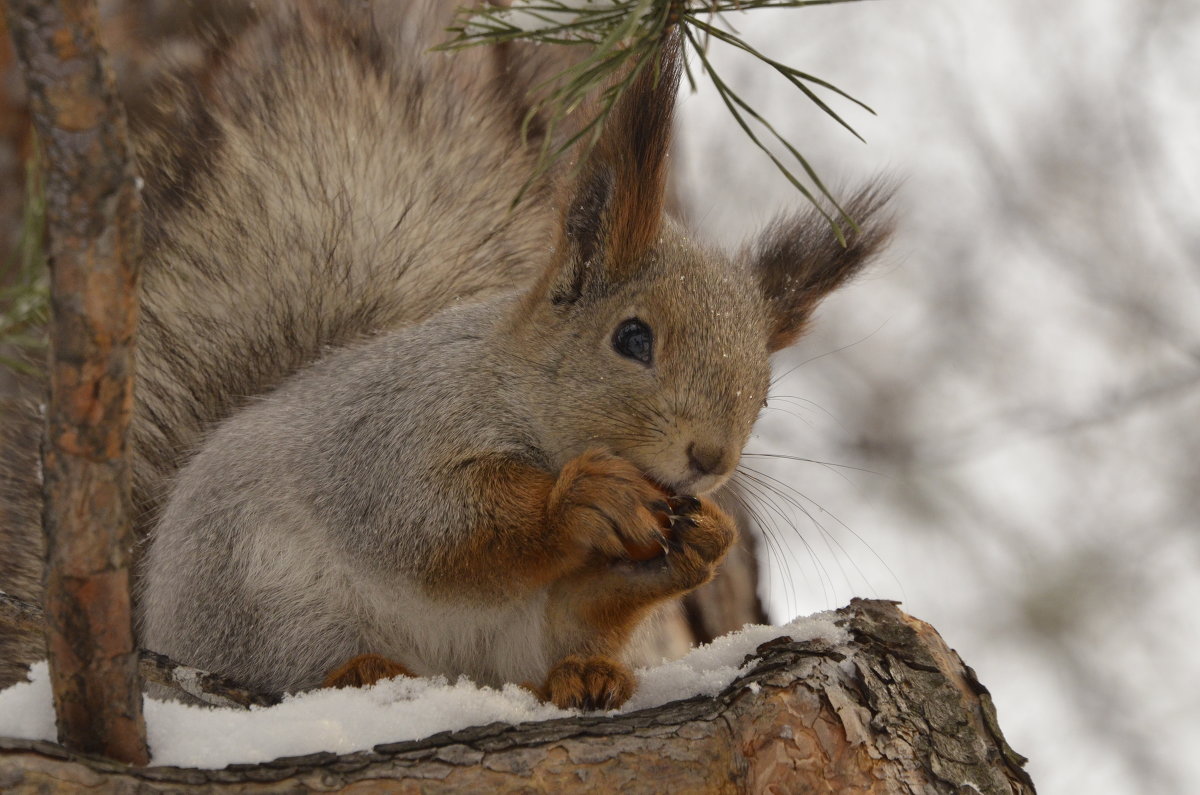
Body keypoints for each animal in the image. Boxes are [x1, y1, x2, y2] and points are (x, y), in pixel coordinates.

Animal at [0, 0, 892, 710]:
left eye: (764, 393)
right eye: (632, 337)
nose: (710, 460)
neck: (515, 390)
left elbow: (582, 594)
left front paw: (703, 540)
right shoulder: (394, 438)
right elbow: (437, 530)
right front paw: (577, 501)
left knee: (555, 642)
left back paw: (585, 672)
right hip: (262, 600)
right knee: (295, 664)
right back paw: (362, 670)